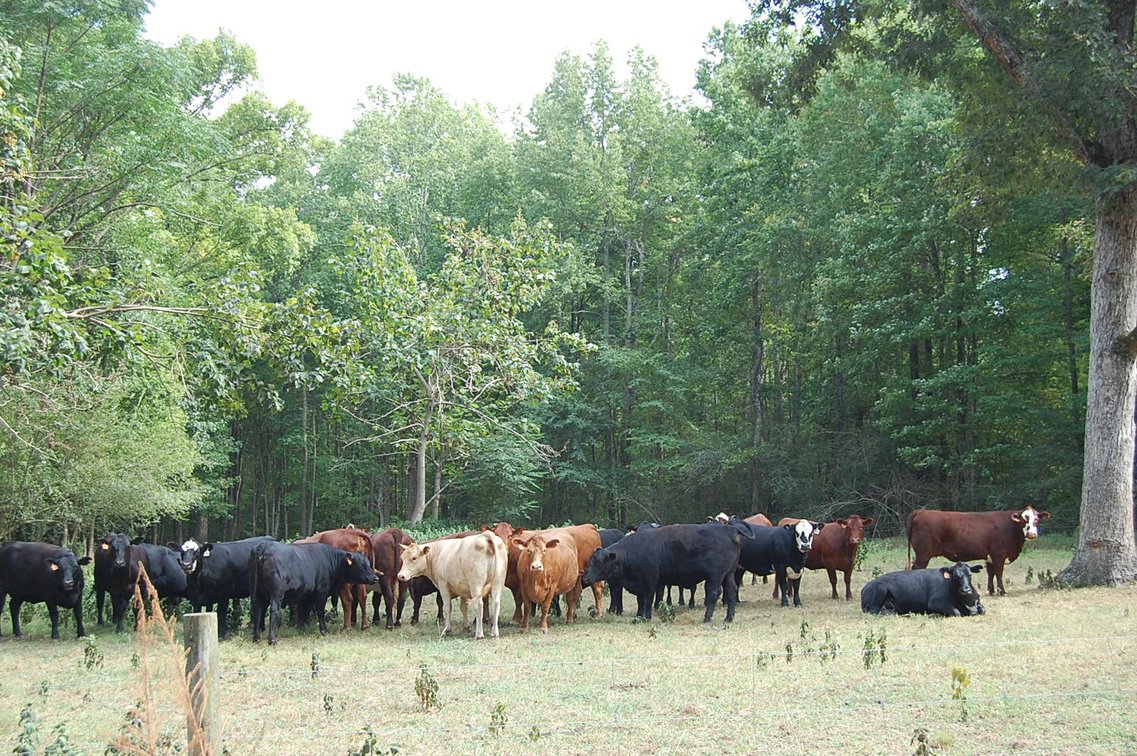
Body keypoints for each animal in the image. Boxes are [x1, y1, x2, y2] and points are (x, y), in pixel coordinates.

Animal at [249, 541, 379, 644]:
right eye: (362, 565)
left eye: (369, 563)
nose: (375, 578)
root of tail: (263, 546)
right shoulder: (322, 591)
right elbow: (320, 612)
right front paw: (324, 631)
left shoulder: (306, 595)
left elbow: (304, 612)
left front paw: (302, 629)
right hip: (276, 593)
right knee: (274, 611)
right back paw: (272, 639)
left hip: (258, 593)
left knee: (257, 610)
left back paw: (257, 638)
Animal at [581, 522, 748, 623]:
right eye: (590, 561)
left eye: (598, 562)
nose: (586, 579)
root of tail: (730, 529)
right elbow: (640, 601)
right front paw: (639, 616)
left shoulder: (650, 581)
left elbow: (648, 599)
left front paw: (646, 617)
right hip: (728, 574)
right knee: (731, 591)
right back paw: (728, 618)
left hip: (715, 575)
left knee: (714, 592)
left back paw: (707, 618)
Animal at [907, 506, 1051, 595]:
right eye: (1023, 519)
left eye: (1036, 519)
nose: (1031, 534)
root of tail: (921, 511)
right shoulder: (999, 553)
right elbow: (999, 572)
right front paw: (1002, 591)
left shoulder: (990, 556)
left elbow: (991, 572)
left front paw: (991, 591)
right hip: (923, 554)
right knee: (916, 568)